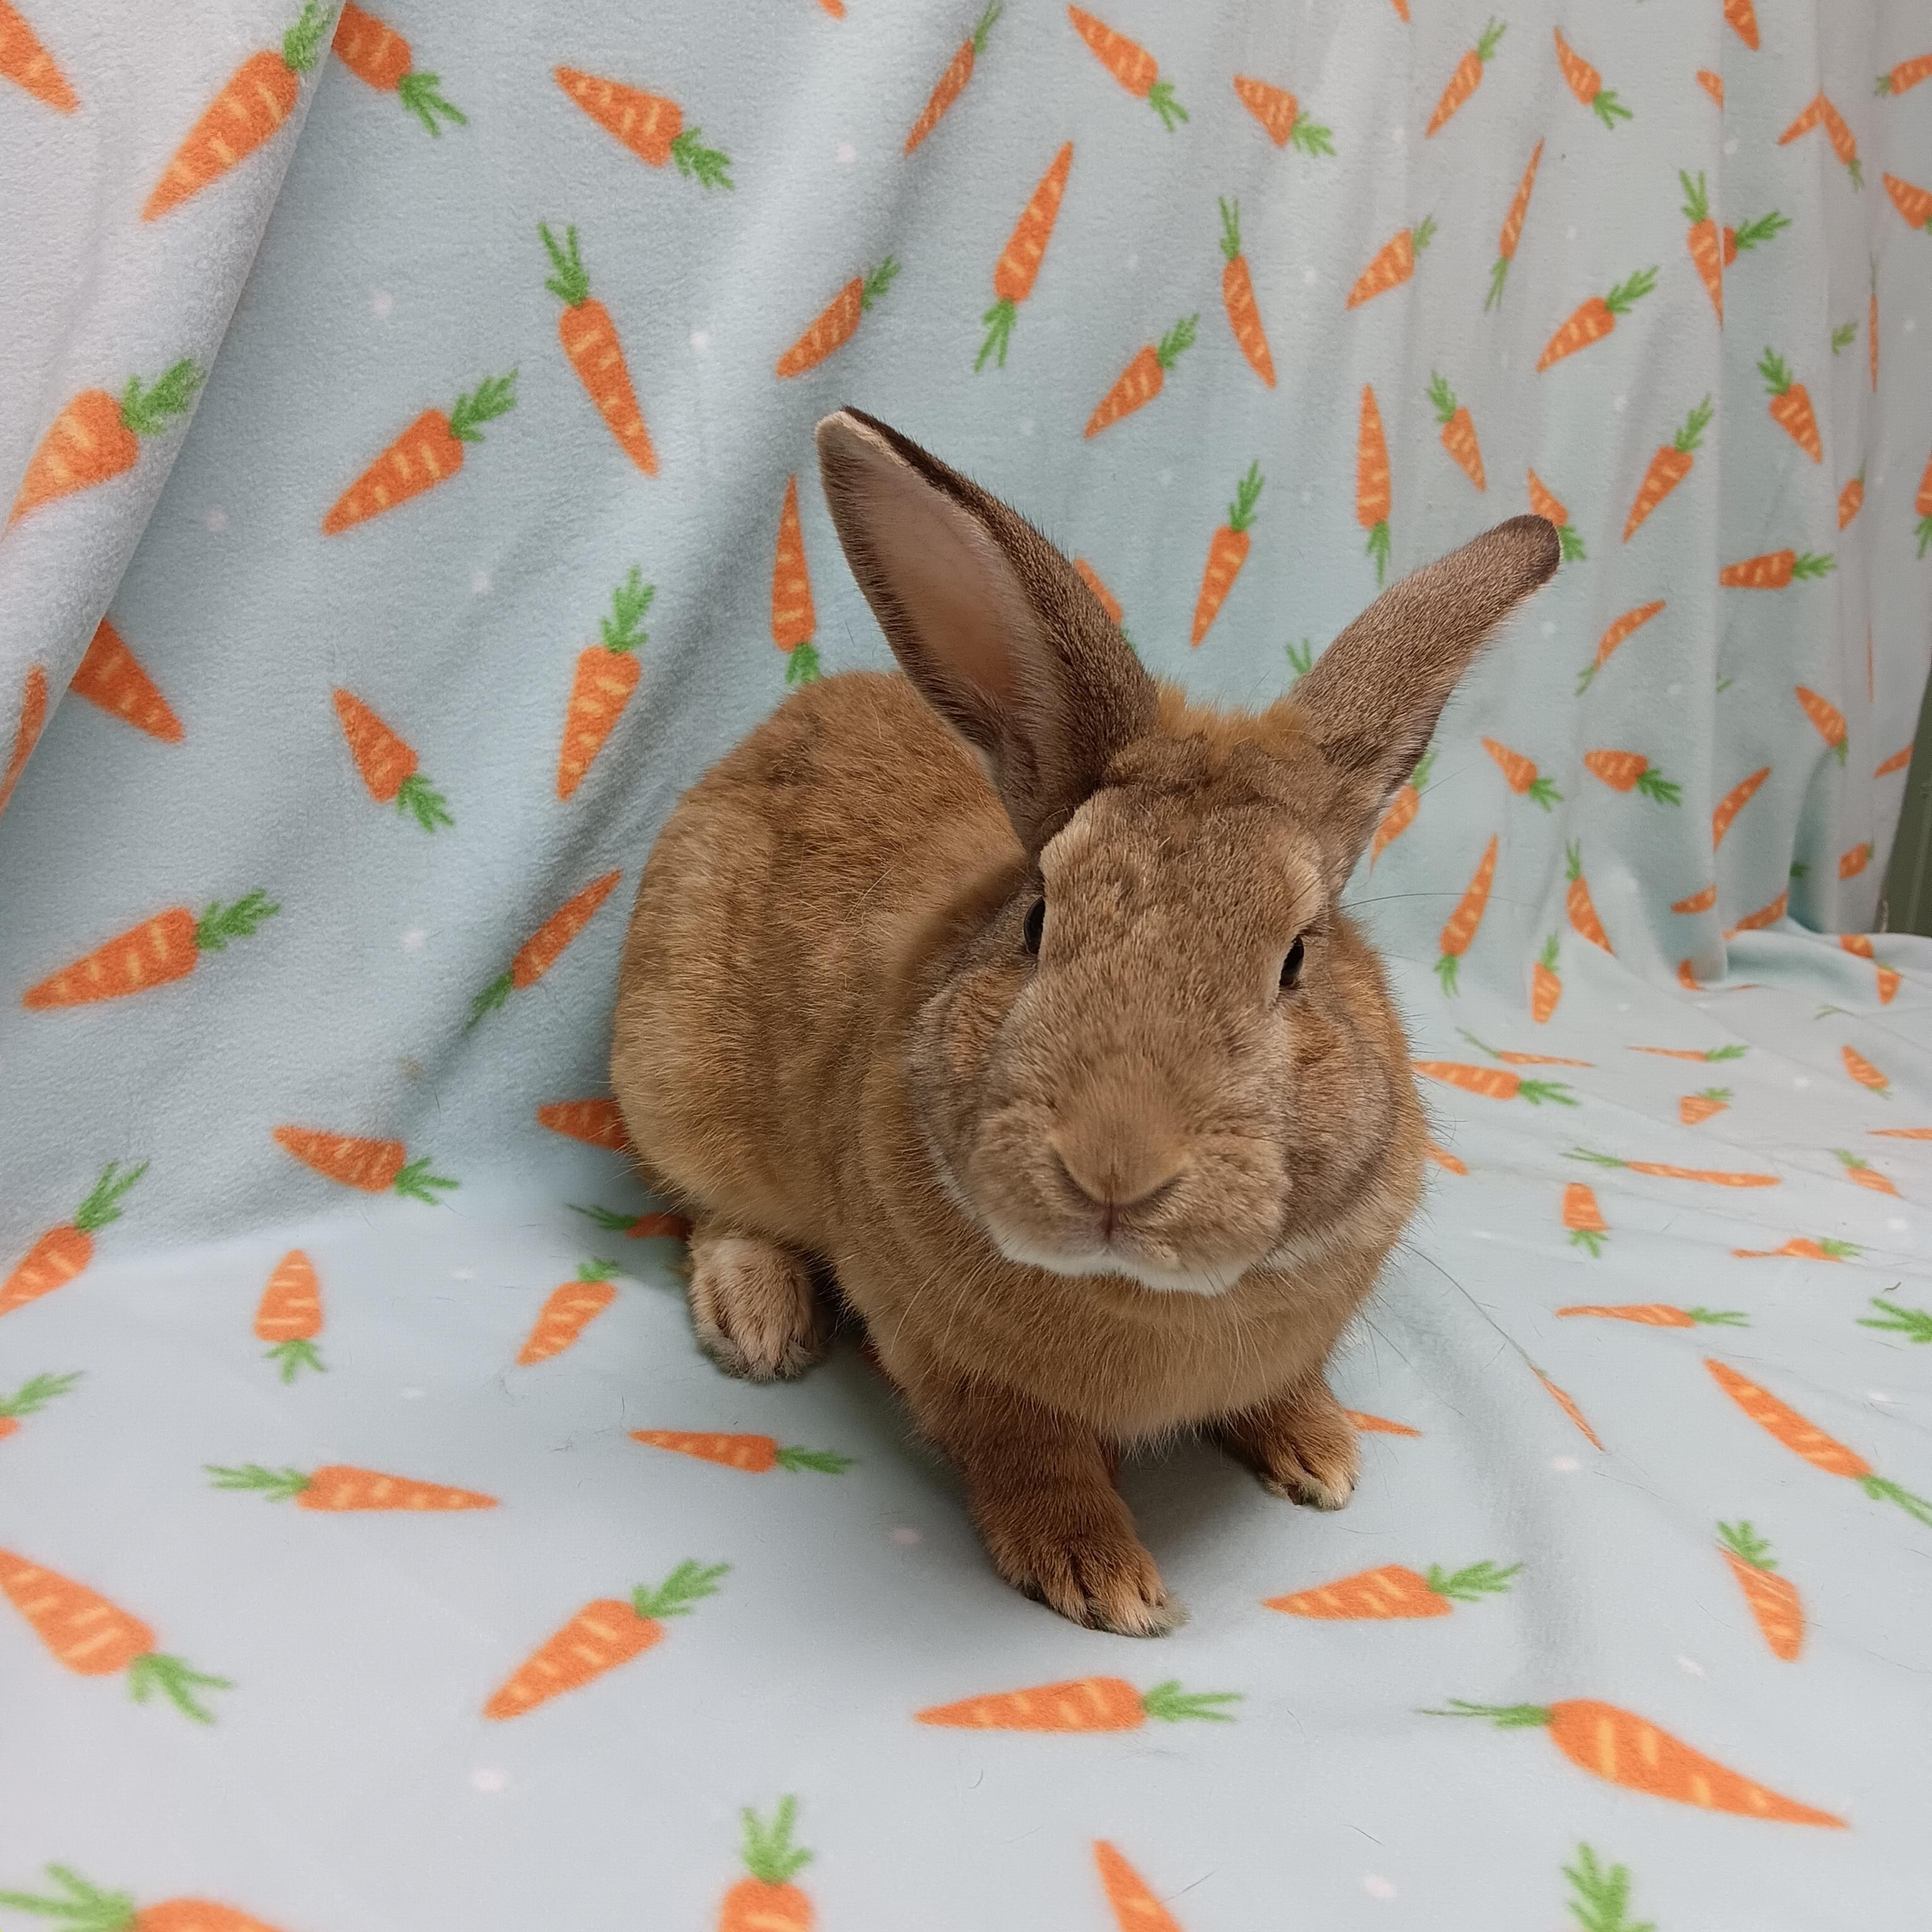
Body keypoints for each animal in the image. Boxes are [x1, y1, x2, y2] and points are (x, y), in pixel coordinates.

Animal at [611, 408, 1559, 1637]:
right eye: (1038, 919)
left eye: (1298, 957)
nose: (1116, 1168)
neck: (1143, 1298)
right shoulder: (947, 1357)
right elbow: (1027, 1450)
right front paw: (1101, 1576)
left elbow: (1282, 1388)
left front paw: (1322, 1455)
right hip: (674, 1083)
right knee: (710, 1207)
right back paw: (759, 1323)